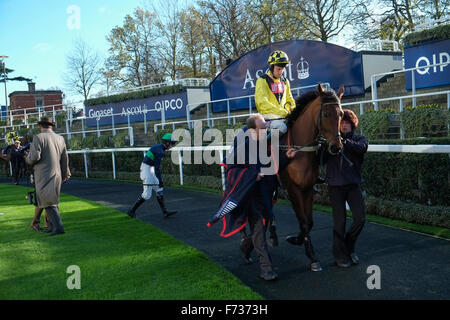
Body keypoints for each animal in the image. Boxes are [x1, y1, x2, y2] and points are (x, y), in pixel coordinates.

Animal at [280, 82, 342, 270]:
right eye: (326, 114)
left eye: (341, 114)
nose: (337, 147)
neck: (299, 151)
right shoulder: (293, 189)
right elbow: (303, 221)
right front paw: (311, 255)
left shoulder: (308, 188)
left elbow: (309, 221)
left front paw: (298, 240)